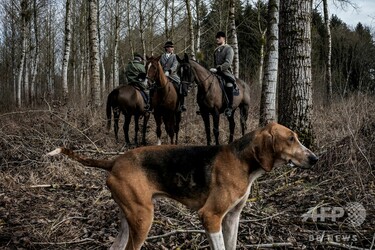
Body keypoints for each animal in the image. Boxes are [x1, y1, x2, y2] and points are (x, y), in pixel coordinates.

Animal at [46, 123, 318, 250]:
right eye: (291, 139)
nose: (315, 159)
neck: (242, 161)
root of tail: (115, 160)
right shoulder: (210, 217)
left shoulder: (232, 218)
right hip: (143, 219)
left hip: (129, 219)